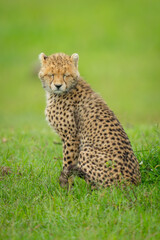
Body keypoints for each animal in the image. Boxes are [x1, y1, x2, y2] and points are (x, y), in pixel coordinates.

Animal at [38, 52, 141, 189]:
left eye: (66, 75)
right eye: (51, 75)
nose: (58, 85)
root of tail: (134, 182)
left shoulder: (71, 137)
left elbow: (68, 163)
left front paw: (66, 187)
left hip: (87, 150)